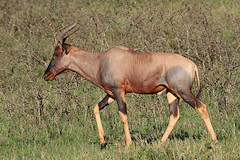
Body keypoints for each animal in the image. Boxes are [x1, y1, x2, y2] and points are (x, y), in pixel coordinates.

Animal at [43, 22, 218, 149]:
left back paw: (214, 140)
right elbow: (95, 108)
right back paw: (160, 143)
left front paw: (128, 144)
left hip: (184, 92)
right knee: (175, 115)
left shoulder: (118, 91)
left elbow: (123, 115)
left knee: (202, 107)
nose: (47, 75)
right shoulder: (111, 94)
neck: (102, 60)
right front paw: (103, 142)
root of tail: (192, 65)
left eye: (56, 53)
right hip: (171, 93)